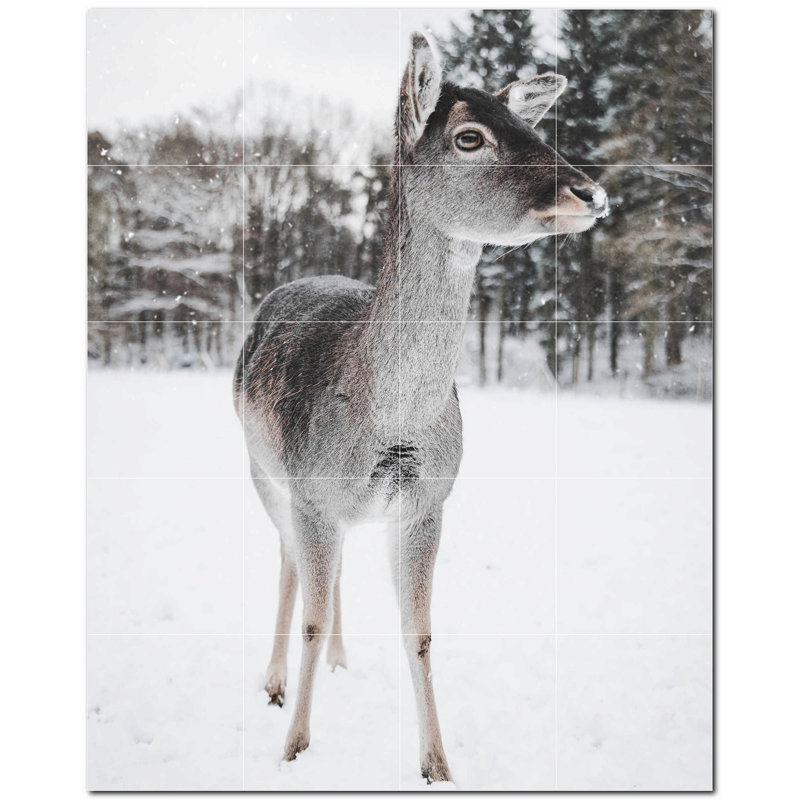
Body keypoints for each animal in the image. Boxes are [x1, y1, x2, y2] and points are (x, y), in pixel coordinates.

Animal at [233, 32, 608, 784]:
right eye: (470, 137)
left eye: (532, 125)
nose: (590, 191)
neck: (393, 425)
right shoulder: (312, 493)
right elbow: (311, 613)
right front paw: (294, 749)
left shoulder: (428, 501)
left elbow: (421, 631)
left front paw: (438, 764)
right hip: (262, 469)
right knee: (288, 560)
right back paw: (274, 681)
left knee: (328, 573)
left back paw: (341, 662)